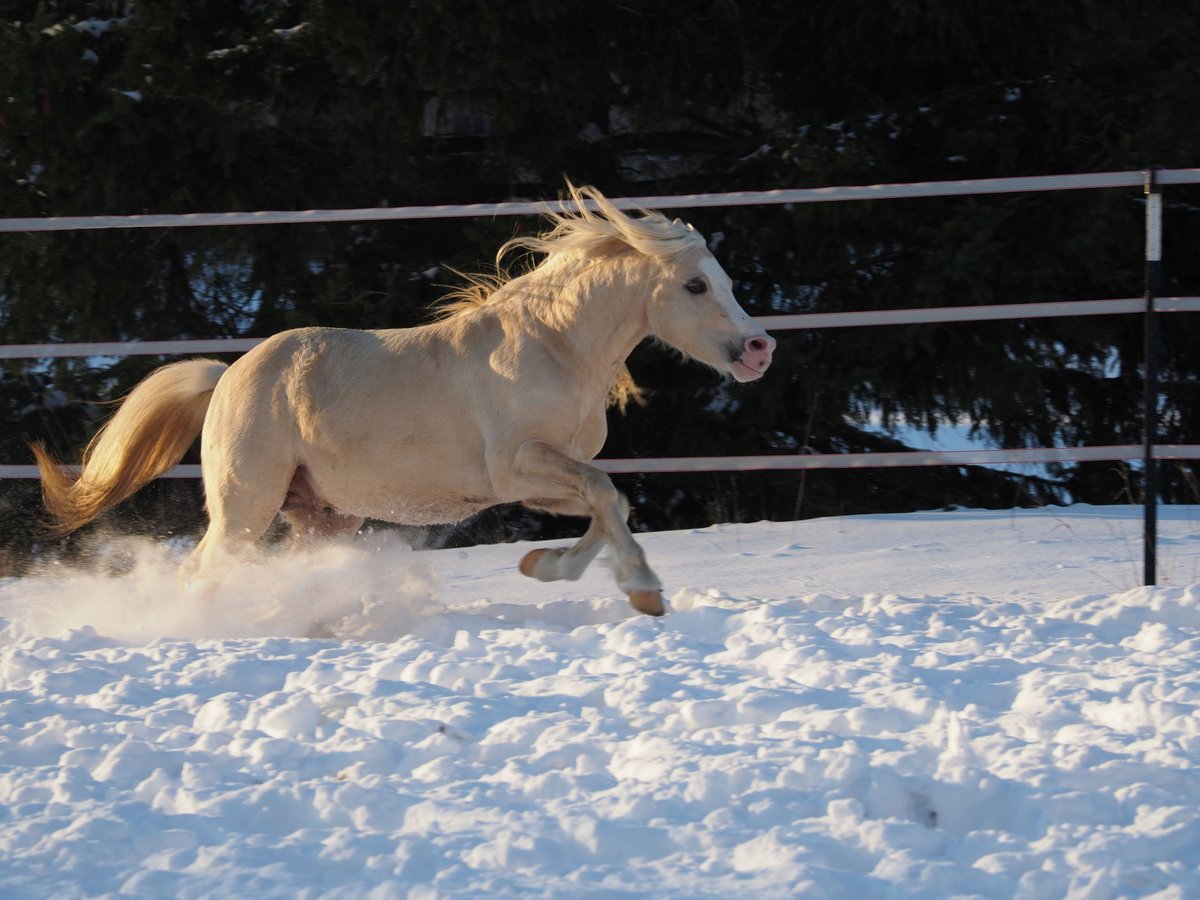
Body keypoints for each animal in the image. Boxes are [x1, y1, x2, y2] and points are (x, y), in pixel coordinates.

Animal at [35, 186, 777, 619]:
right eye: (693, 286)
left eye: (721, 279)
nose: (757, 349)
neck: (555, 346)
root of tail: (226, 377)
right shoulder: (519, 466)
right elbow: (605, 493)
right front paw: (645, 591)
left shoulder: (539, 483)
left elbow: (609, 500)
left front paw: (544, 567)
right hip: (247, 506)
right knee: (203, 569)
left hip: (322, 514)